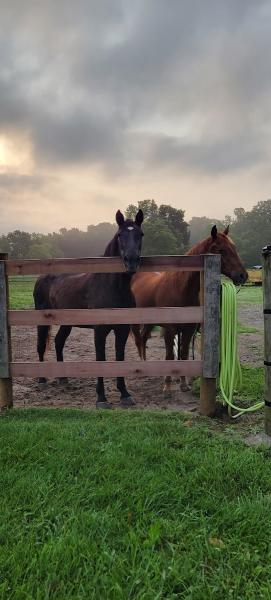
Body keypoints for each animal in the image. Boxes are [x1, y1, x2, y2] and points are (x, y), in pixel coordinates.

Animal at [33, 209, 144, 410]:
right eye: (120, 235)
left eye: (140, 234)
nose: (131, 262)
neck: (112, 287)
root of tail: (42, 277)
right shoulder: (99, 331)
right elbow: (100, 359)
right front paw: (101, 398)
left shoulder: (122, 329)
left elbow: (120, 357)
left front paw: (125, 394)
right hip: (41, 319)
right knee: (40, 344)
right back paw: (42, 379)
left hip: (66, 323)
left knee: (58, 342)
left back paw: (63, 378)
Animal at [132, 225, 249, 394]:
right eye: (221, 250)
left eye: (234, 248)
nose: (242, 275)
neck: (180, 288)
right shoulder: (169, 330)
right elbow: (169, 355)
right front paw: (167, 385)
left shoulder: (188, 330)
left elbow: (184, 354)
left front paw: (183, 383)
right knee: (139, 339)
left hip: (149, 322)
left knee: (143, 338)